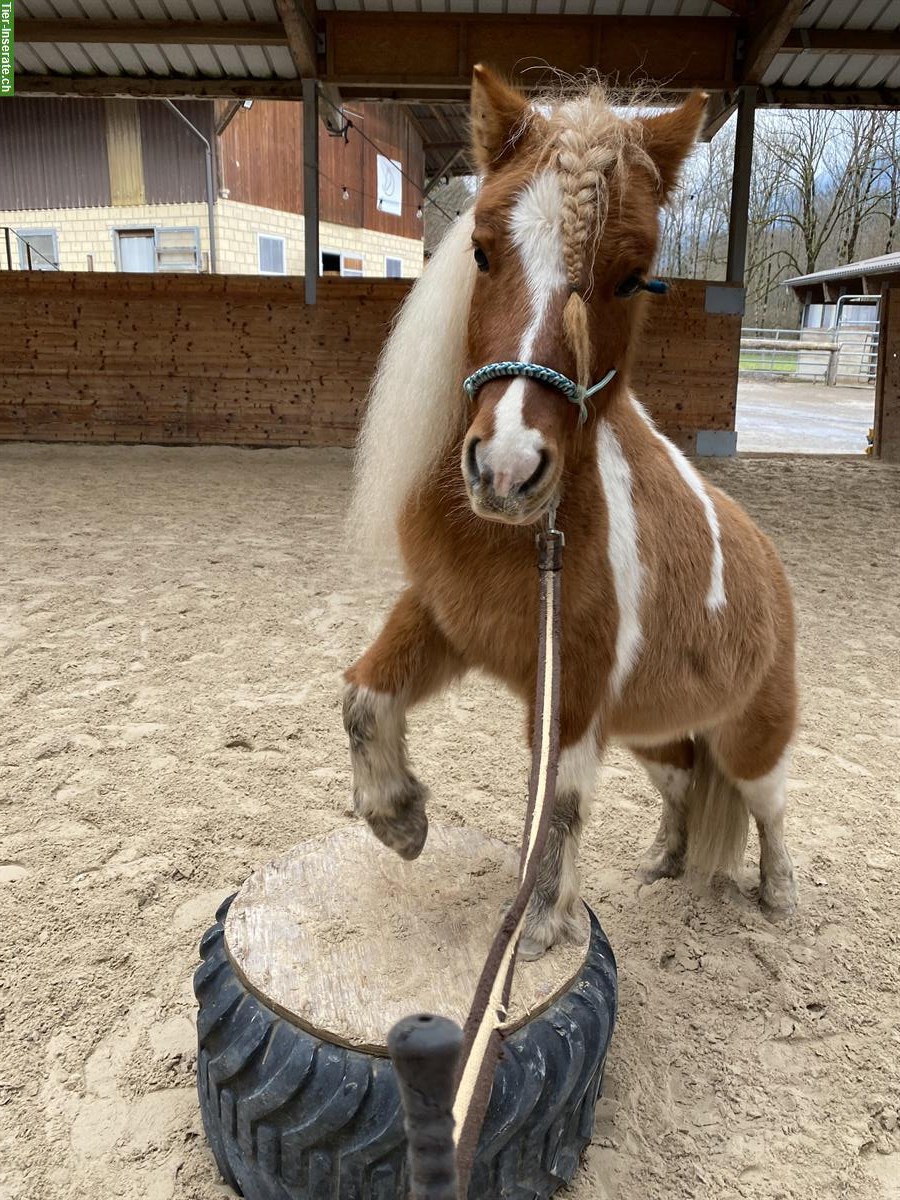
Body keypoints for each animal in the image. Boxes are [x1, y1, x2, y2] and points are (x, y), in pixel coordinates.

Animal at [340, 70, 801, 960]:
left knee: (769, 808)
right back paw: (662, 861)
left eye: (633, 276)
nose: (507, 469)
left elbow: (555, 807)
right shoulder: (444, 619)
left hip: (751, 741)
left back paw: (780, 894)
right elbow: (363, 696)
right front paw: (398, 818)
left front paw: (541, 926)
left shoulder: (573, 697)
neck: (524, 540)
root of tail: (770, 564)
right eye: (483, 249)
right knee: (683, 785)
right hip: (655, 733)